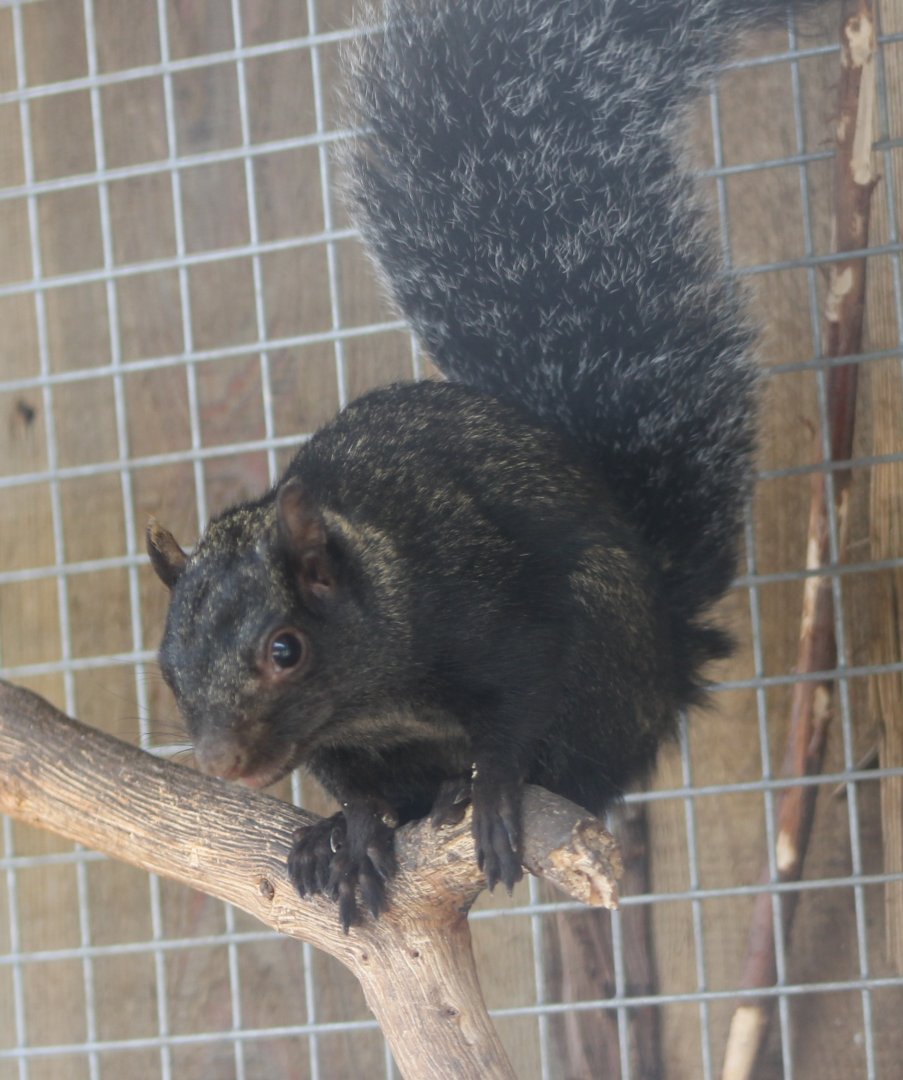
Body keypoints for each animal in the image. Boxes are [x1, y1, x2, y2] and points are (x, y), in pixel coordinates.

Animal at [147, 0, 819, 930]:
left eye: (286, 649)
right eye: (166, 667)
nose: (223, 764)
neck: (374, 695)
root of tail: (671, 649)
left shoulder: (495, 605)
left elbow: (514, 708)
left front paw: (495, 787)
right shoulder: (343, 743)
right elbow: (357, 786)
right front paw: (354, 825)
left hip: (604, 641)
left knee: (588, 769)